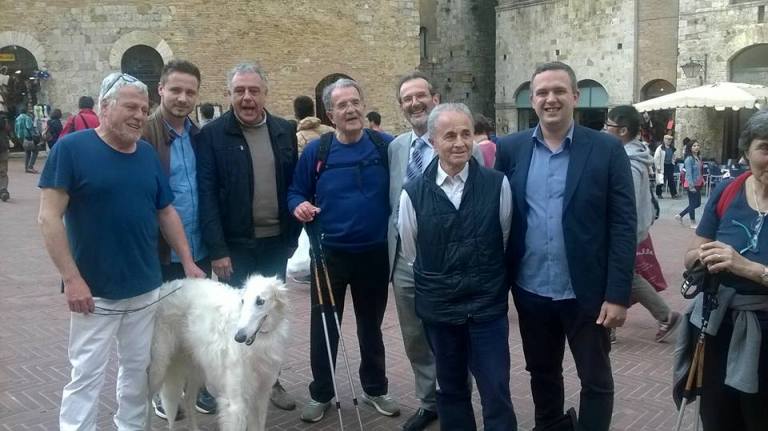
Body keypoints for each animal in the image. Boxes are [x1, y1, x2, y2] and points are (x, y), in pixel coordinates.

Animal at [146, 276, 288, 431]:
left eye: (260, 301)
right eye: (243, 301)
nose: (239, 337)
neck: (261, 342)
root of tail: (164, 288)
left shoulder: (261, 395)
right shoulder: (235, 403)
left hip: (196, 367)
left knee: (188, 399)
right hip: (158, 369)